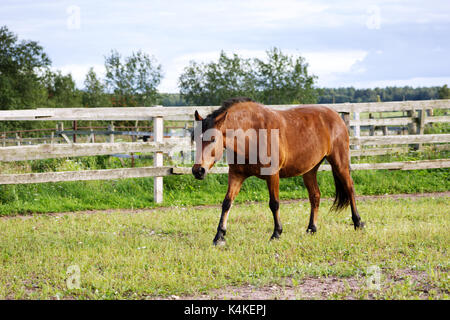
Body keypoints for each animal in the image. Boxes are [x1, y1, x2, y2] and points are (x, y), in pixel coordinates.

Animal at [192, 97, 364, 245]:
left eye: (213, 139)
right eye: (196, 140)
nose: (198, 171)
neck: (252, 135)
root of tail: (336, 116)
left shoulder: (272, 174)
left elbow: (274, 203)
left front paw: (276, 233)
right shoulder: (236, 175)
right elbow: (227, 203)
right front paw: (219, 236)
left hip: (339, 163)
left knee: (350, 188)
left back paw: (358, 223)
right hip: (309, 170)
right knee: (315, 196)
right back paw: (311, 229)